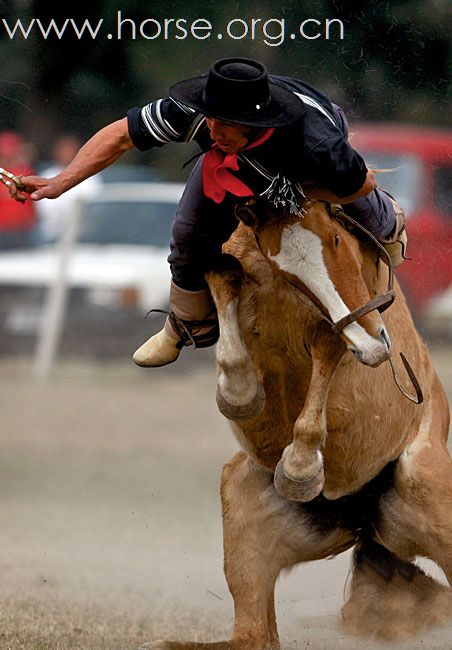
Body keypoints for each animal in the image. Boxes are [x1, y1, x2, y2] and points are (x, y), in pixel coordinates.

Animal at [151, 197, 452, 648]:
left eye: (337, 238)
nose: (375, 344)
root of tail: (362, 519)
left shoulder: (345, 317)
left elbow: (329, 340)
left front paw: (300, 466)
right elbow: (222, 275)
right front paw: (239, 392)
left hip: (427, 485)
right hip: (245, 503)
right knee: (255, 637)